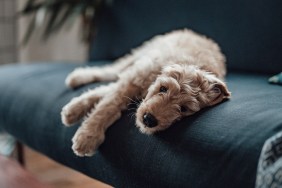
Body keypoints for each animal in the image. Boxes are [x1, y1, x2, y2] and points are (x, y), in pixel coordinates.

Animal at [60, 28, 230, 156]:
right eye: (163, 88)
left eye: (184, 109)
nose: (149, 120)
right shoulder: (136, 76)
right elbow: (108, 105)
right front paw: (88, 136)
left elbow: (108, 93)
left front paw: (75, 110)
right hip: (141, 53)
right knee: (113, 70)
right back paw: (78, 77)